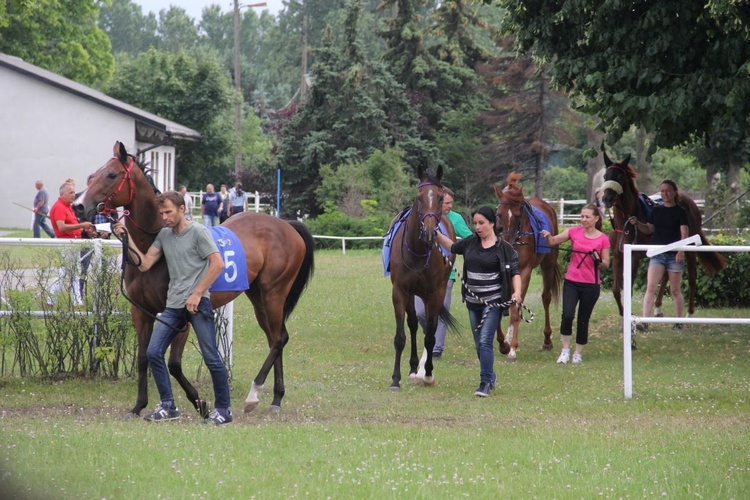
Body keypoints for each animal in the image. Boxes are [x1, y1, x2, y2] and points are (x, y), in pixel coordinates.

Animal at [74, 142, 314, 418]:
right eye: (93, 174)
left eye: (111, 175)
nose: (78, 206)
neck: (153, 244)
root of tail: (286, 226)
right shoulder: (141, 311)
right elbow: (144, 357)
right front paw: (139, 405)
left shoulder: (181, 315)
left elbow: (174, 363)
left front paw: (199, 402)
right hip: (257, 297)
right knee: (276, 338)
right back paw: (276, 398)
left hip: (274, 293)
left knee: (278, 340)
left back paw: (254, 395)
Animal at [388, 164, 458, 390]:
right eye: (418, 197)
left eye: (440, 197)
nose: (429, 233)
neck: (418, 252)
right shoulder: (400, 291)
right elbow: (401, 336)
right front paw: (395, 379)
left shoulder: (435, 293)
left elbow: (430, 335)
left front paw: (427, 373)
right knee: (413, 324)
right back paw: (412, 367)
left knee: (430, 328)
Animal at [496, 174, 560, 362]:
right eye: (499, 214)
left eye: (518, 215)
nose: (508, 243)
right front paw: (503, 343)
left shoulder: (524, 271)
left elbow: (516, 310)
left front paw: (512, 349)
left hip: (548, 264)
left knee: (546, 298)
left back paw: (547, 340)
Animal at [600, 150, 728, 322]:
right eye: (605, 176)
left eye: (620, 176)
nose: (607, 198)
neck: (626, 223)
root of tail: (691, 203)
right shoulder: (618, 256)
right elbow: (615, 289)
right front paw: (622, 312)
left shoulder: (634, 257)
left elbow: (629, 288)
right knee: (666, 275)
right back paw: (658, 308)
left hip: (689, 247)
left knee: (692, 277)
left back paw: (689, 313)